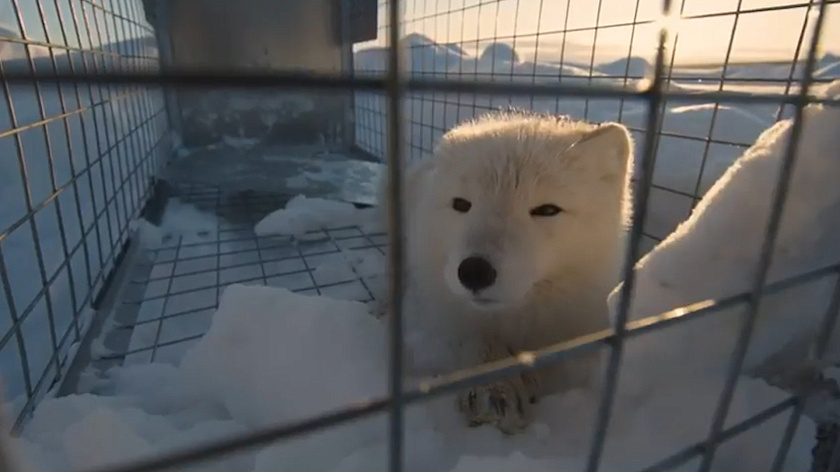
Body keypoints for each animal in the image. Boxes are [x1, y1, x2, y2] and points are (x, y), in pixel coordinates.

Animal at [384, 111, 632, 436]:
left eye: (547, 210)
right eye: (461, 204)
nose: (474, 272)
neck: (518, 320)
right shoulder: (437, 319)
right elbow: (477, 340)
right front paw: (494, 386)